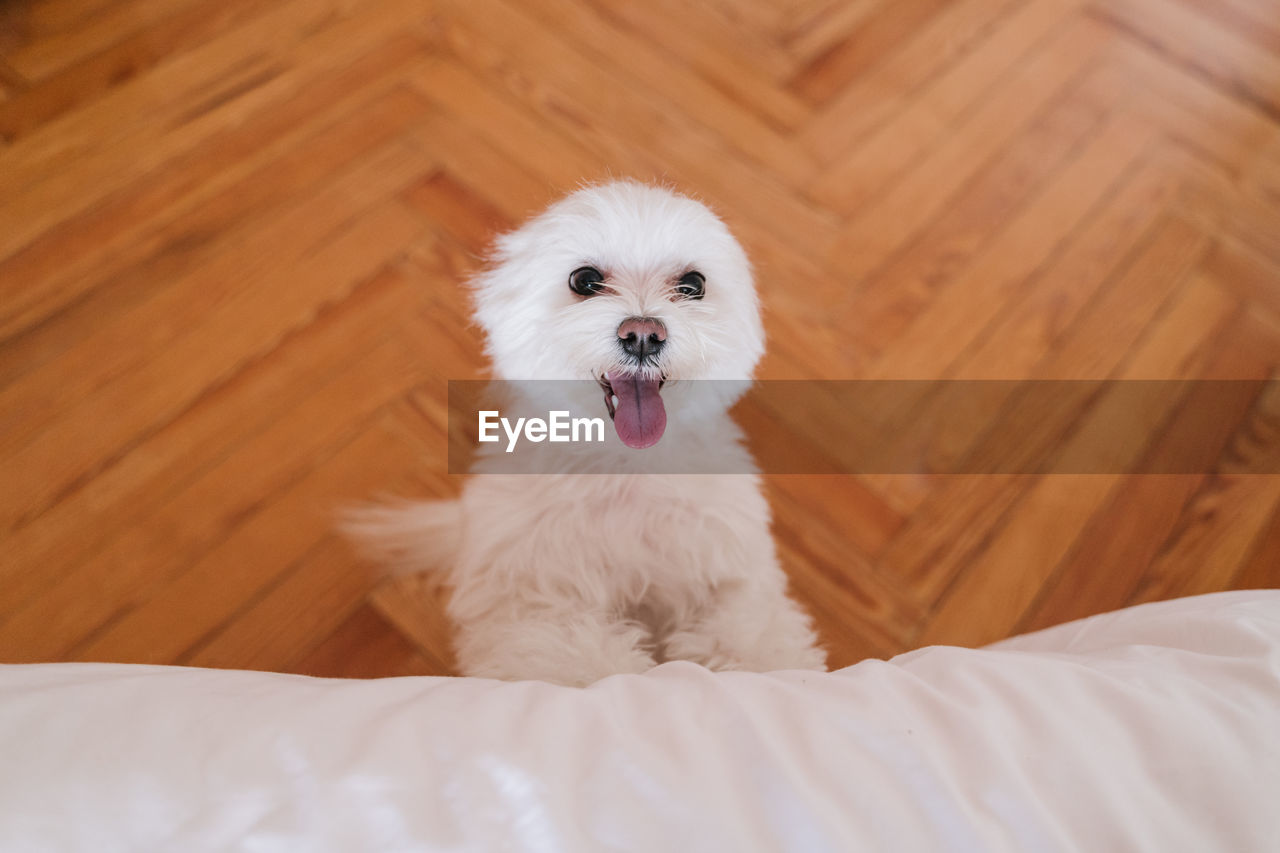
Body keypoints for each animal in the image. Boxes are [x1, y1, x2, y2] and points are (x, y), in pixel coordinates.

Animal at [350, 179, 824, 686]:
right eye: (584, 281)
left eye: (692, 285)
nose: (643, 333)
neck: (624, 468)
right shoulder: (536, 597)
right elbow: (573, 662)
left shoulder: (729, 574)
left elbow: (748, 636)